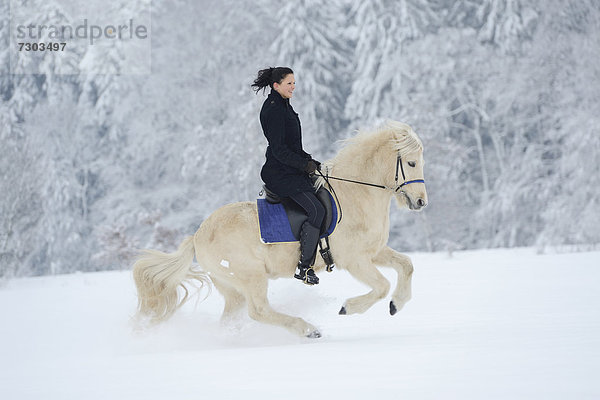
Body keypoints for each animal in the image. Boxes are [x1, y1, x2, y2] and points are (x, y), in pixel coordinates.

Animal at [134, 121, 428, 338]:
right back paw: (308, 330)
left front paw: (396, 304)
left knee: (232, 318)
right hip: (250, 277)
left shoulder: (374, 253)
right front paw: (348, 308)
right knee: (258, 311)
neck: (354, 194)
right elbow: (381, 286)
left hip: (232, 288)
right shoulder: (355, 260)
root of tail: (197, 235)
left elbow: (407, 265)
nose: (421, 202)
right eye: (411, 163)